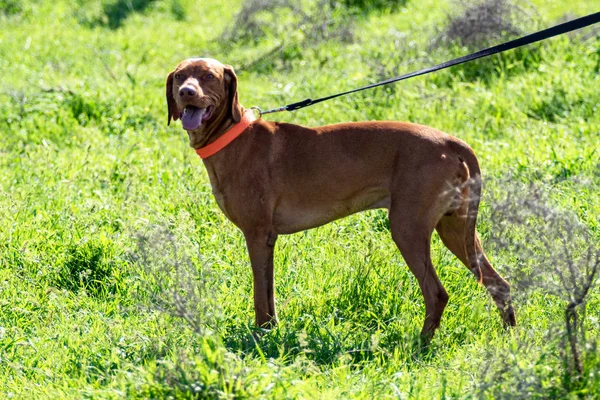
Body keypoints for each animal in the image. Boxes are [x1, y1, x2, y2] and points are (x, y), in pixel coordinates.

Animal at [164, 58, 516, 340]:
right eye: (180, 76)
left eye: (208, 76)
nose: (187, 93)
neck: (230, 136)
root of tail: (452, 142)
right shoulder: (268, 240)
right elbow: (270, 293)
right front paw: (272, 331)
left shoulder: (257, 234)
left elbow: (260, 298)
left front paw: (261, 336)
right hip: (455, 230)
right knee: (498, 283)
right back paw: (509, 339)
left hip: (408, 229)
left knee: (436, 293)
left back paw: (421, 345)